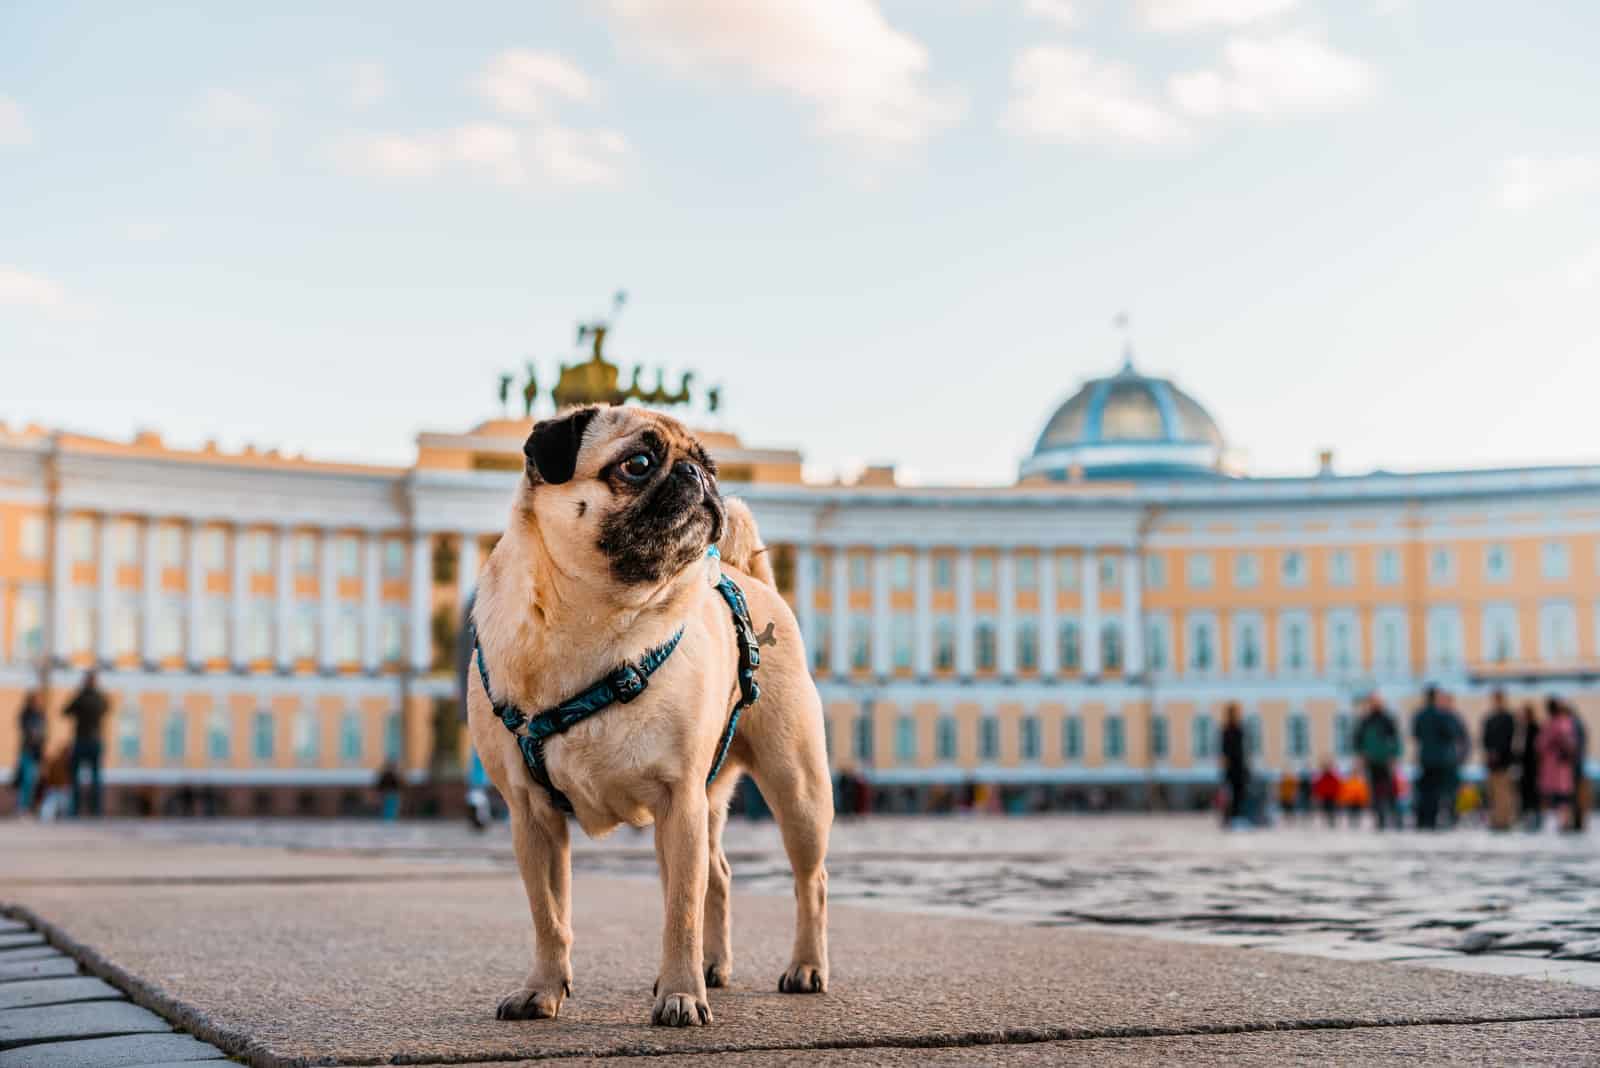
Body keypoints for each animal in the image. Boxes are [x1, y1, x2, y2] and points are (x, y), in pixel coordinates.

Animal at [467, 399, 832, 1023]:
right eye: (638, 464)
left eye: (708, 463)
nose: (698, 475)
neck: (590, 620)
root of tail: (749, 576)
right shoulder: (531, 815)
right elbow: (549, 916)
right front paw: (542, 989)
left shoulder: (677, 799)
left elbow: (679, 911)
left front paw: (681, 995)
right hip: (709, 797)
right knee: (719, 875)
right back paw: (715, 967)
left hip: (796, 788)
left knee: (810, 881)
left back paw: (805, 968)